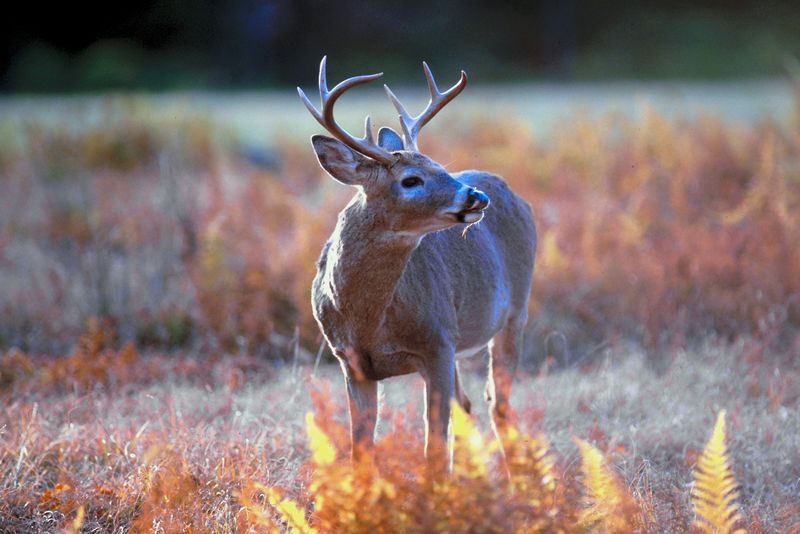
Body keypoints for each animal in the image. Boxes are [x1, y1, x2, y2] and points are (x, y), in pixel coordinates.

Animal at [298, 57, 537, 465]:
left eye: (440, 166)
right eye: (411, 180)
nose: (476, 196)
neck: (368, 321)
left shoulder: (436, 343)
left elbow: (434, 447)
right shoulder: (351, 362)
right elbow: (360, 450)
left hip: (513, 313)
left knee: (496, 403)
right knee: (469, 404)